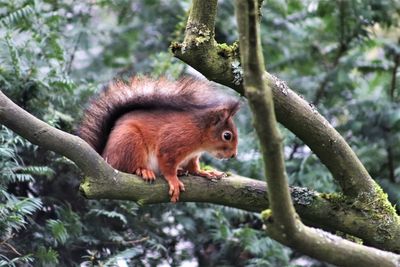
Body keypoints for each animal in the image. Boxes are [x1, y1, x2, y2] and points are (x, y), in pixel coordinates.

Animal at [79, 77, 241, 203]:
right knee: (126, 166)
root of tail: (104, 156)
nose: (233, 155)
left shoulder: (192, 156)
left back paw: (180, 171)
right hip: (130, 142)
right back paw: (143, 170)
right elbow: (167, 165)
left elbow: (193, 167)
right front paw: (174, 181)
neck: (200, 135)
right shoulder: (172, 143)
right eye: (227, 135)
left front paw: (205, 173)